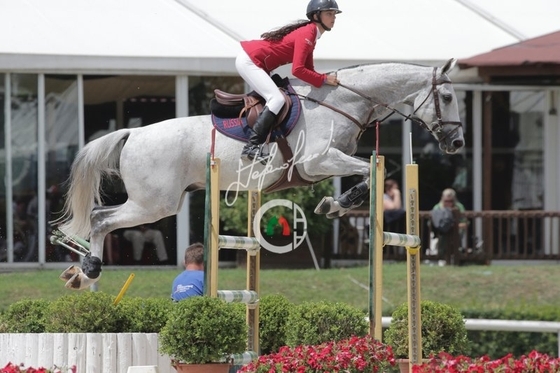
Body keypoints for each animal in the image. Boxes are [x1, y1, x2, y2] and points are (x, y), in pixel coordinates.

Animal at [55, 58, 464, 290]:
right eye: (446, 98)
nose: (457, 142)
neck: (343, 101)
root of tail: (133, 133)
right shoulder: (316, 161)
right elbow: (367, 172)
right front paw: (335, 204)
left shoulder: (326, 162)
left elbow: (367, 172)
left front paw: (334, 204)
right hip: (155, 204)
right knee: (100, 218)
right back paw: (90, 270)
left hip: (154, 202)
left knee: (100, 217)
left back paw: (81, 273)